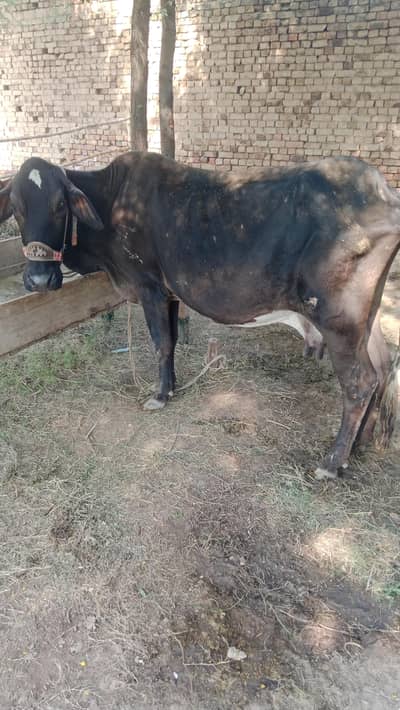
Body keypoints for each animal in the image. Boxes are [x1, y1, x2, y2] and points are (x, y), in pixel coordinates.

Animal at [0, 152, 399, 480]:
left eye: (59, 205)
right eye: (16, 207)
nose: (38, 280)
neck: (112, 204)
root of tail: (383, 195)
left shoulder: (149, 287)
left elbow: (161, 343)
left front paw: (159, 395)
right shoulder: (170, 293)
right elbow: (173, 341)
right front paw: (173, 386)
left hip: (340, 321)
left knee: (360, 382)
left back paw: (332, 462)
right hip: (367, 320)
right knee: (382, 369)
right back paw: (358, 447)